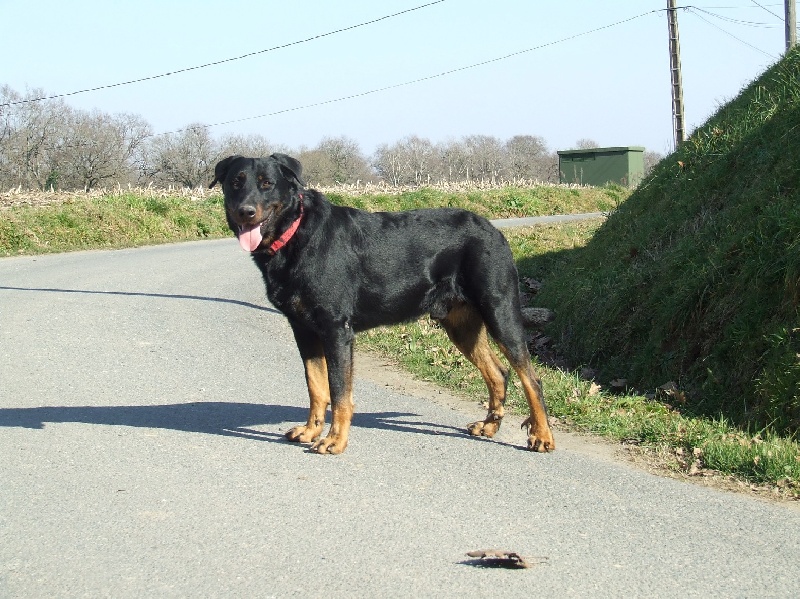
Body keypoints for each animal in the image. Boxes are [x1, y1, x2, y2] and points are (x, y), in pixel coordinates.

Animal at [209, 154, 552, 454]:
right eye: (236, 182)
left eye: (267, 183)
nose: (245, 211)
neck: (294, 235)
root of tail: (493, 229)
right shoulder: (303, 330)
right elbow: (316, 387)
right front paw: (310, 431)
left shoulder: (336, 329)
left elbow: (339, 392)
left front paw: (334, 441)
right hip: (461, 324)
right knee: (498, 372)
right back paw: (489, 425)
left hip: (499, 311)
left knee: (531, 378)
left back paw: (542, 436)